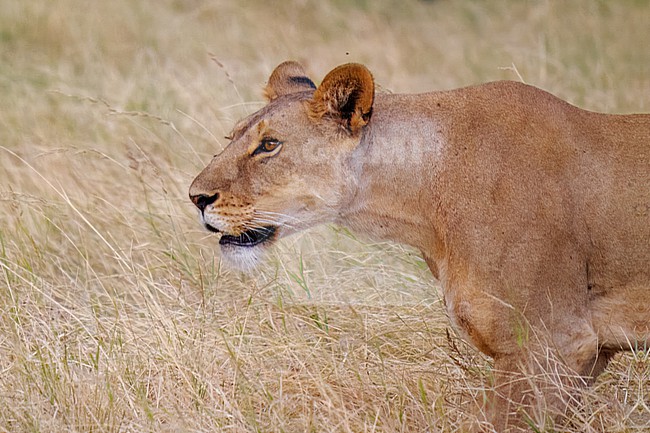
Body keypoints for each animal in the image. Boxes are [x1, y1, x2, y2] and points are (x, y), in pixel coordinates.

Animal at [189, 61, 650, 431]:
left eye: (269, 145)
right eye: (232, 137)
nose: (195, 197)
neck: (422, 200)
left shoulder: (553, 341)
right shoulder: (579, 354)